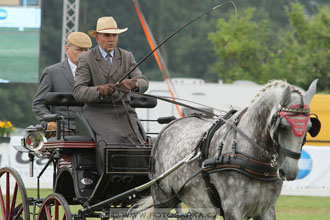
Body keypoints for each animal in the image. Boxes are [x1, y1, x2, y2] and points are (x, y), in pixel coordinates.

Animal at [135, 80, 318, 219]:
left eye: (309, 127)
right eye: (284, 127)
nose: (290, 172)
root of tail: (168, 126)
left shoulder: (267, 210)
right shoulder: (233, 210)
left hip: (200, 205)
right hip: (163, 199)